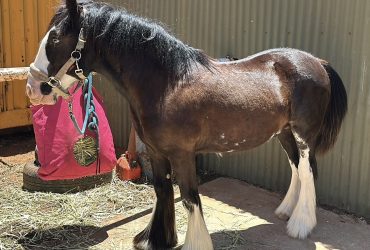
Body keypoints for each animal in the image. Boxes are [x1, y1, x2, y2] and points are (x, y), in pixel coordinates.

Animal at [25, 0, 346, 249]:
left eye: (55, 39)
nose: (32, 88)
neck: (167, 85)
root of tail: (316, 62)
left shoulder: (183, 154)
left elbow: (190, 198)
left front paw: (195, 243)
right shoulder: (156, 153)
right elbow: (162, 190)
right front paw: (157, 239)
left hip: (304, 133)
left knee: (308, 169)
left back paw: (301, 225)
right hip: (284, 132)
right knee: (296, 167)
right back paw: (286, 212)